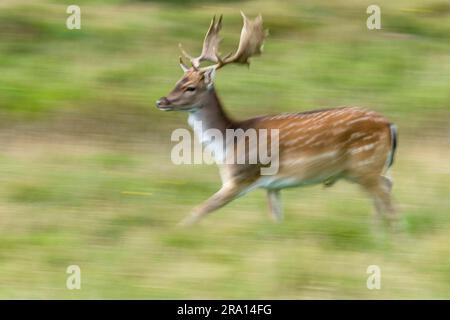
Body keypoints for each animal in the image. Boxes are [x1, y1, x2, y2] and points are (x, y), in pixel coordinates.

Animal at [156, 12, 398, 226]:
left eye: (190, 87)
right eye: (177, 81)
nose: (161, 101)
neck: (228, 144)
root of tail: (390, 125)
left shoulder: (240, 177)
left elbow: (198, 210)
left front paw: (176, 230)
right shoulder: (272, 186)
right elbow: (276, 219)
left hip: (365, 164)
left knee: (386, 197)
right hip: (362, 170)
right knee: (385, 189)